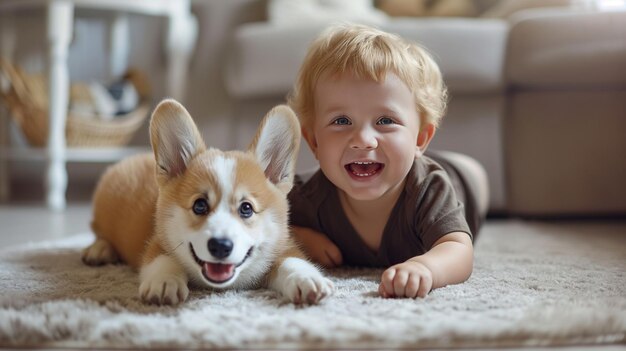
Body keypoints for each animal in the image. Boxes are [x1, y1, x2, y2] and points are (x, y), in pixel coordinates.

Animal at [85, 98, 334, 306]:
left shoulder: (282, 247)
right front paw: (165, 283)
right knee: (98, 231)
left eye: (246, 208)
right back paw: (99, 250)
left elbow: (292, 260)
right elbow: (163, 260)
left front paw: (307, 278)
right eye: (199, 205)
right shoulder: (156, 244)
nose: (220, 246)